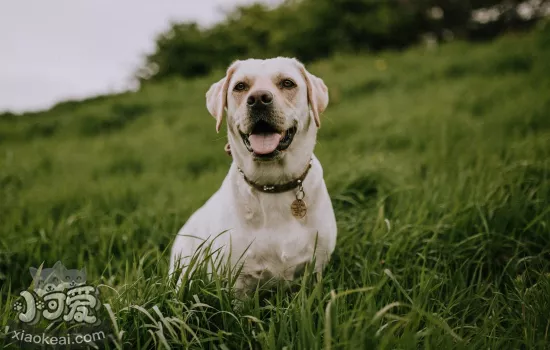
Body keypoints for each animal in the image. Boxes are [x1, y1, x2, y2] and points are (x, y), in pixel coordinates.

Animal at [170, 56, 338, 296]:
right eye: (240, 86)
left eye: (287, 83)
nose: (258, 99)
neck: (272, 186)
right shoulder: (236, 281)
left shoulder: (317, 267)